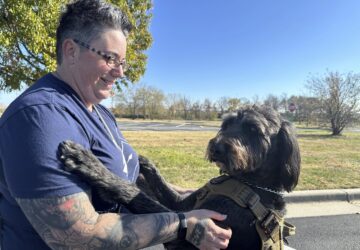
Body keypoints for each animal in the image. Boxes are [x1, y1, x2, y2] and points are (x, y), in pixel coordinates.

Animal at [59, 105, 300, 250]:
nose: (216, 147)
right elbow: (156, 182)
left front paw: (89, 164)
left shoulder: (185, 238)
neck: (250, 183)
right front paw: (140, 160)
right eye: (226, 124)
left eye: (253, 129)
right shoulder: (183, 203)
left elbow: (138, 196)